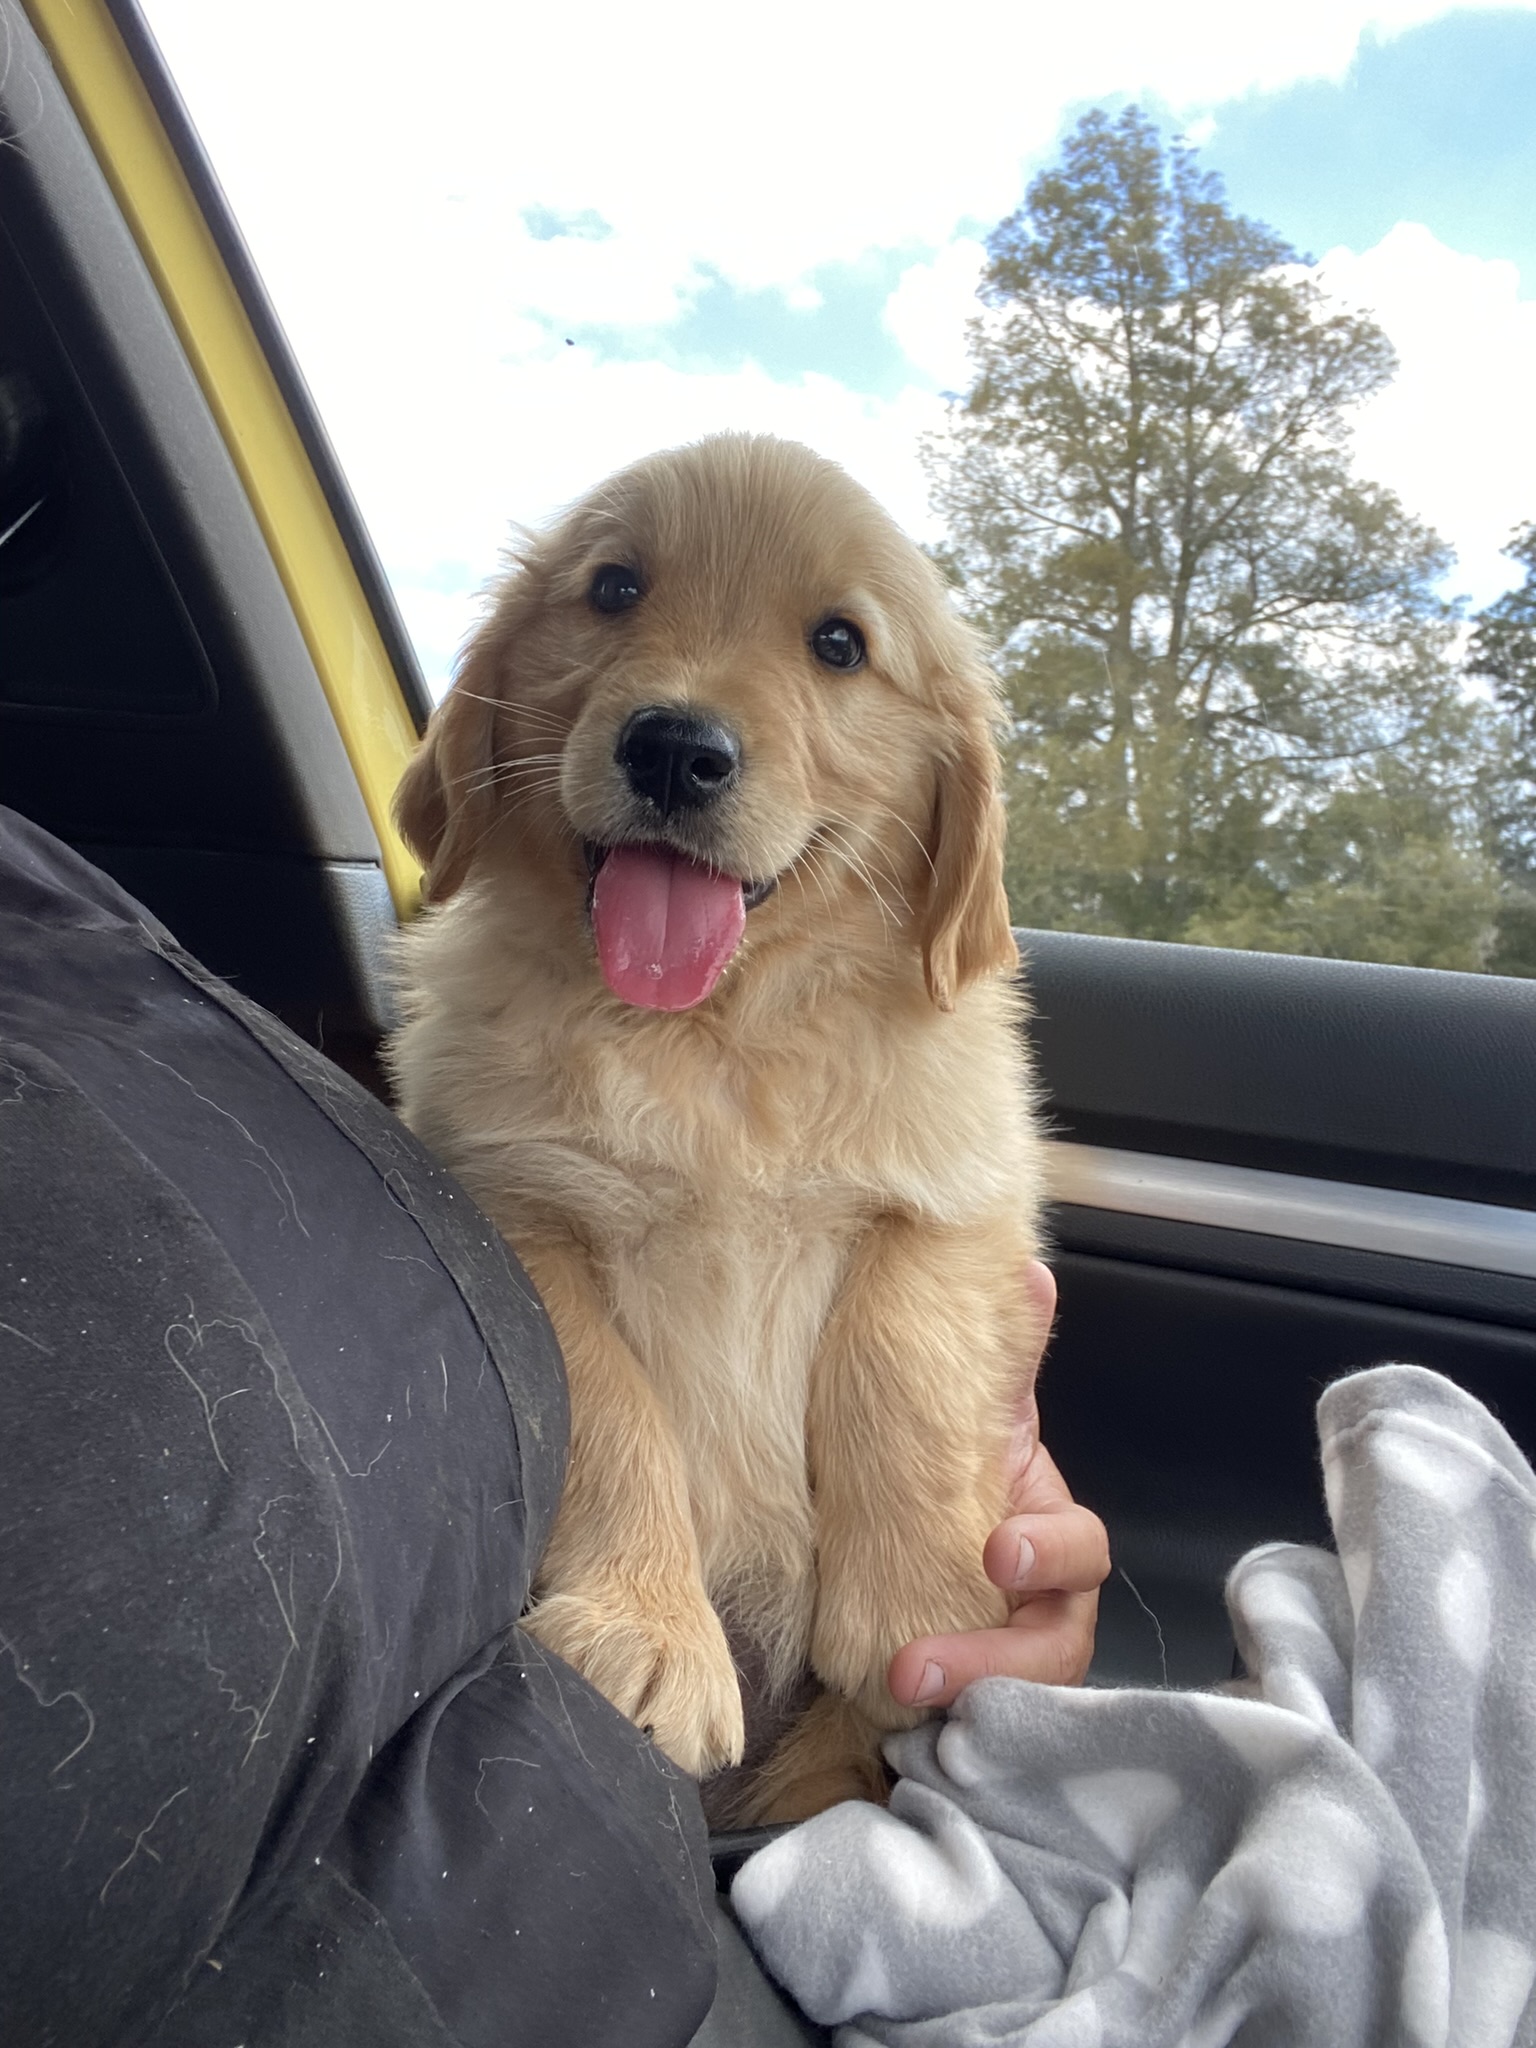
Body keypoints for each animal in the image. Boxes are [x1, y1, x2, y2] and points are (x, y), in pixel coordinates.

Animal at [391, 432, 1056, 1826]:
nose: (675, 747)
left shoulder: (969, 1190)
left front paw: (919, 1600)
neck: (716, 1038)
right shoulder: (515, 1204)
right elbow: (609, 1405)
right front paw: (650, 1628)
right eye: (614, 589)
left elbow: (901, 1341)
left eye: (840, 643)